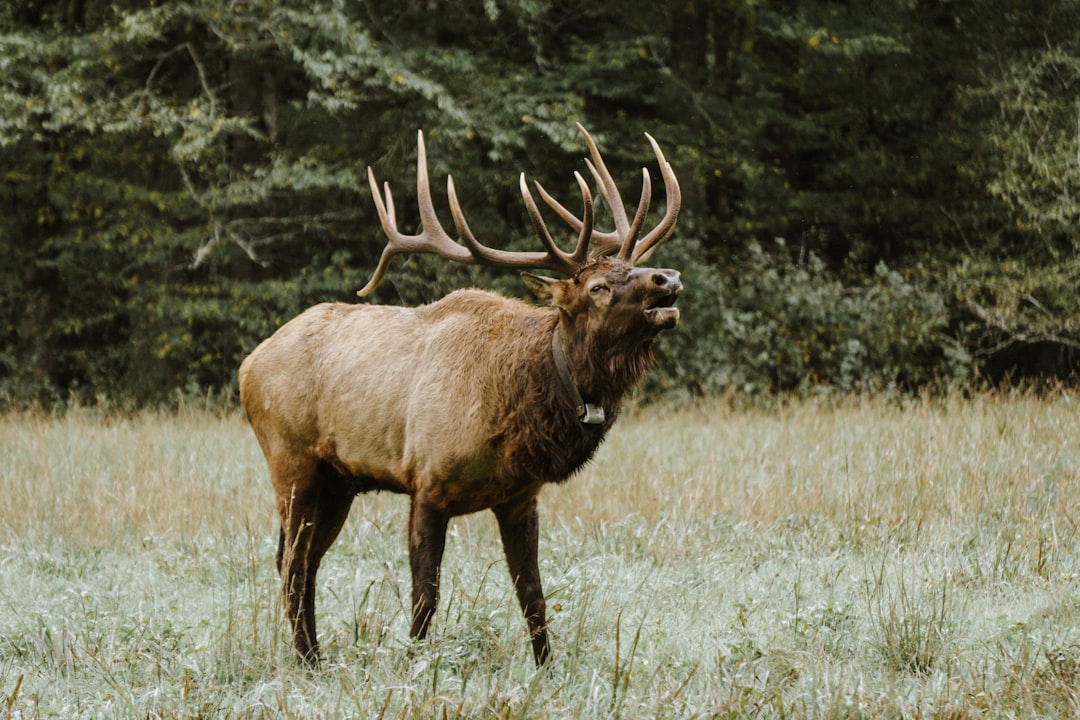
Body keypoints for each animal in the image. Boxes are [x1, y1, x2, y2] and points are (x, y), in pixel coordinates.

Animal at [241, 120, 686, 669]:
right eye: (598, 286)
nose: (668, 277)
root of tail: (247, 366)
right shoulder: (427, 481)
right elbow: (425, 596)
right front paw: (415, 665)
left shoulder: (520, 497)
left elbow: (533, 597)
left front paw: (546, 668)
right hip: (291, 461)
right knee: (293, 564)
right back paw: (308, 661)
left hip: (338, 481)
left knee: (302, 560)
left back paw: (316, 657)